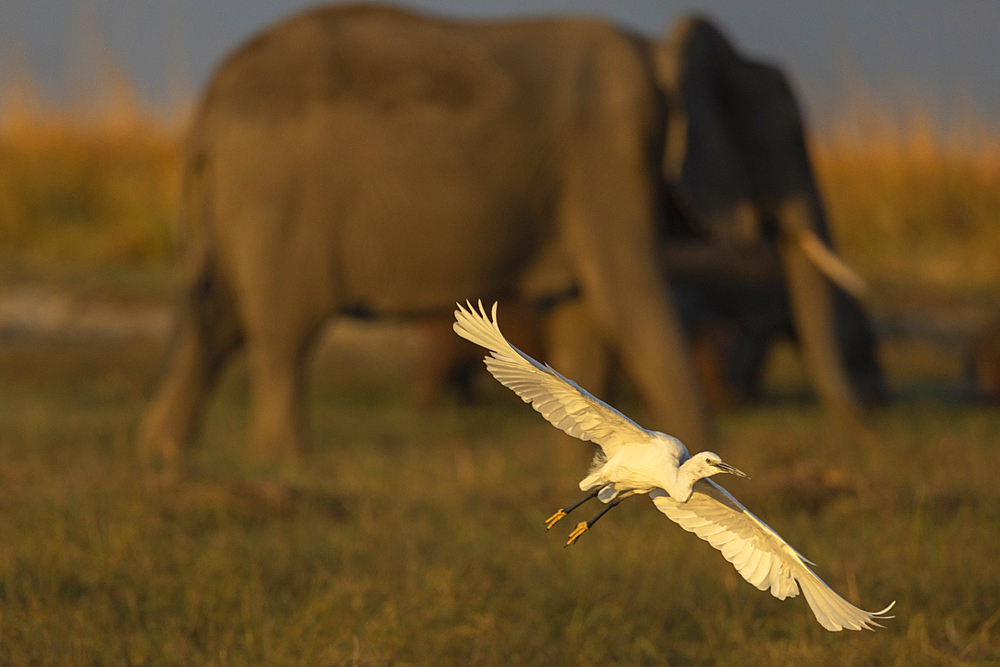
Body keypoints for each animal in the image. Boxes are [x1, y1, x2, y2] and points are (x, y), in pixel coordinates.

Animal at [139, 5, 868, 468]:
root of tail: (209, 103)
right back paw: (287, 460)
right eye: (784, 140)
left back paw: (166, 453)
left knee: (215, 318)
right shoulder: (610, 156)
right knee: (282, 332)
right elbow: (632, 299)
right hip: (276, 202)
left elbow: (583, 317)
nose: (868, 424)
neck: (662, 51)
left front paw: (587, 463)